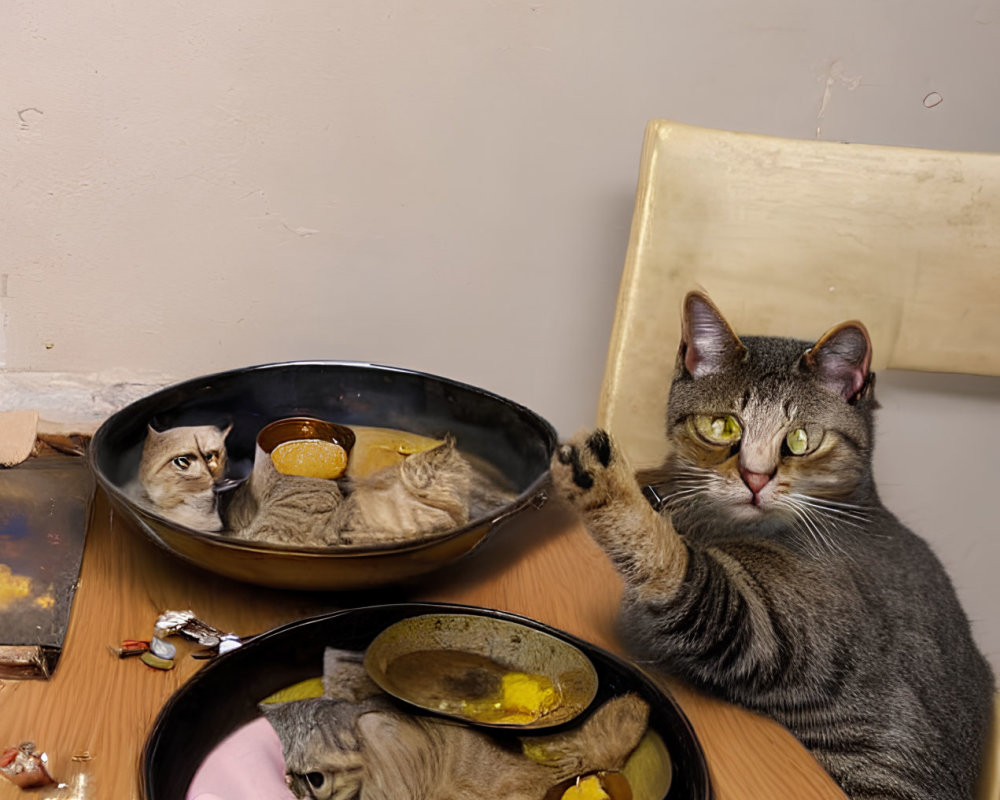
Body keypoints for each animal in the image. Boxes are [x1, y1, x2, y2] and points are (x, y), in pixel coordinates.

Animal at [552, 290, 996, 800]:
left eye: (802, 438)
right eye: (722, 426)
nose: (755, 477)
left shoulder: (777, 632)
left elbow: (681, 569)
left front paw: (605, 484)